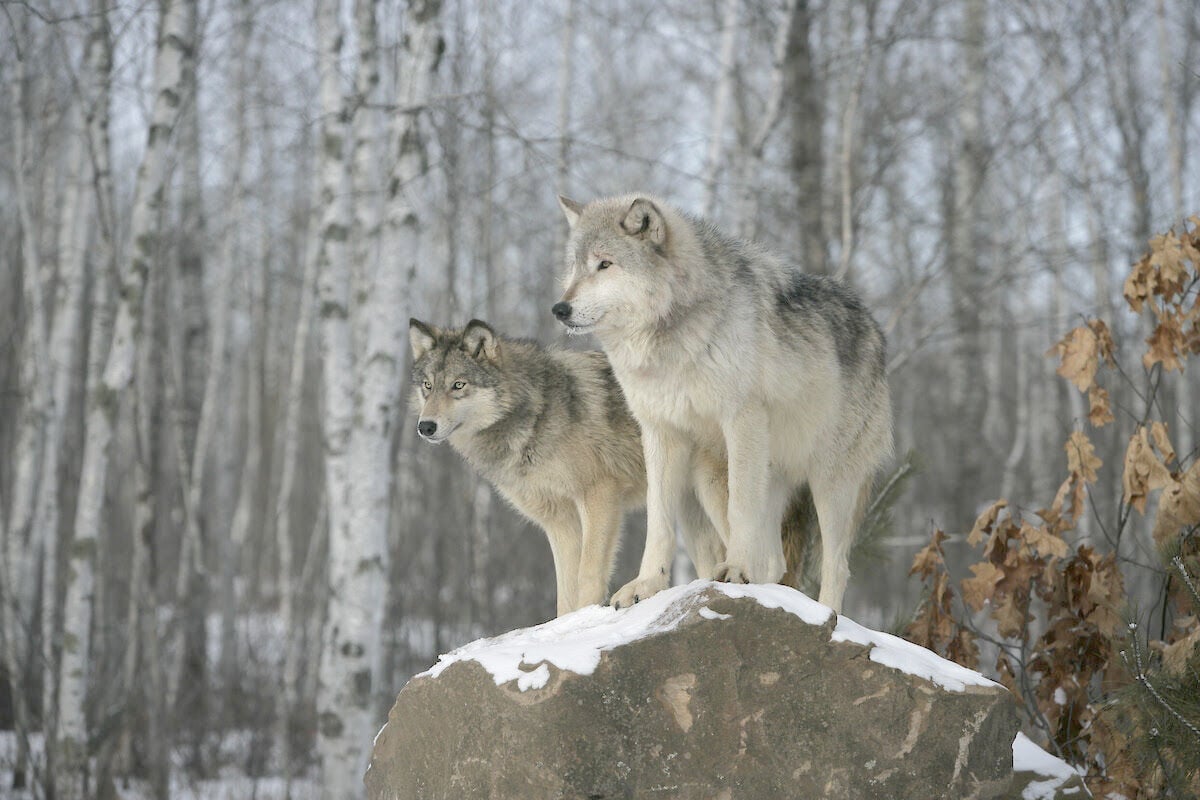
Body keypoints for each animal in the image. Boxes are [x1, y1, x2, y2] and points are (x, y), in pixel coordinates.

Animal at [408, 316, 662, 618]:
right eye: (427, 385)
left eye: (458, 385)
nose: (425, 426)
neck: (537, 414)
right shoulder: (559, 520)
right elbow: (565, 593)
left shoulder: (599, 494)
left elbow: (587, 573)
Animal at [552, 194, 892, 614]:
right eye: (574, 267)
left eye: (604, 264)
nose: (559, 309)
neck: (671, 341)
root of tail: (876, 328)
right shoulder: (660, 433)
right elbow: (659, 520)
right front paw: (646, 585)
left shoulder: (741, 419)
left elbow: (740, 508)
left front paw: (736, 569)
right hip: (722, 473)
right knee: (775, 559)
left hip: (828, 479)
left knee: (836, 565)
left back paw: (825, 612)